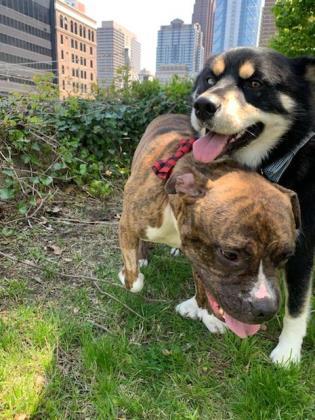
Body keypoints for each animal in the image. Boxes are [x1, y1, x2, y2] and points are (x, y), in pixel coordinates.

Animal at [119, 115, 302, 358]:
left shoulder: (198, 255)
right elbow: (134, 281)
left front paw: (207, 315)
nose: (266, 309)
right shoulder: (127, 224)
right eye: (230, 254)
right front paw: (127, 275)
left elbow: (203, 285)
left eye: (286, 256)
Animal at [191, 46, 314, 364]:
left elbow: (297, 302)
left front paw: (288, 350)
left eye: (255, 84)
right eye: (210, 79)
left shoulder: (303, 245)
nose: (202, 106)